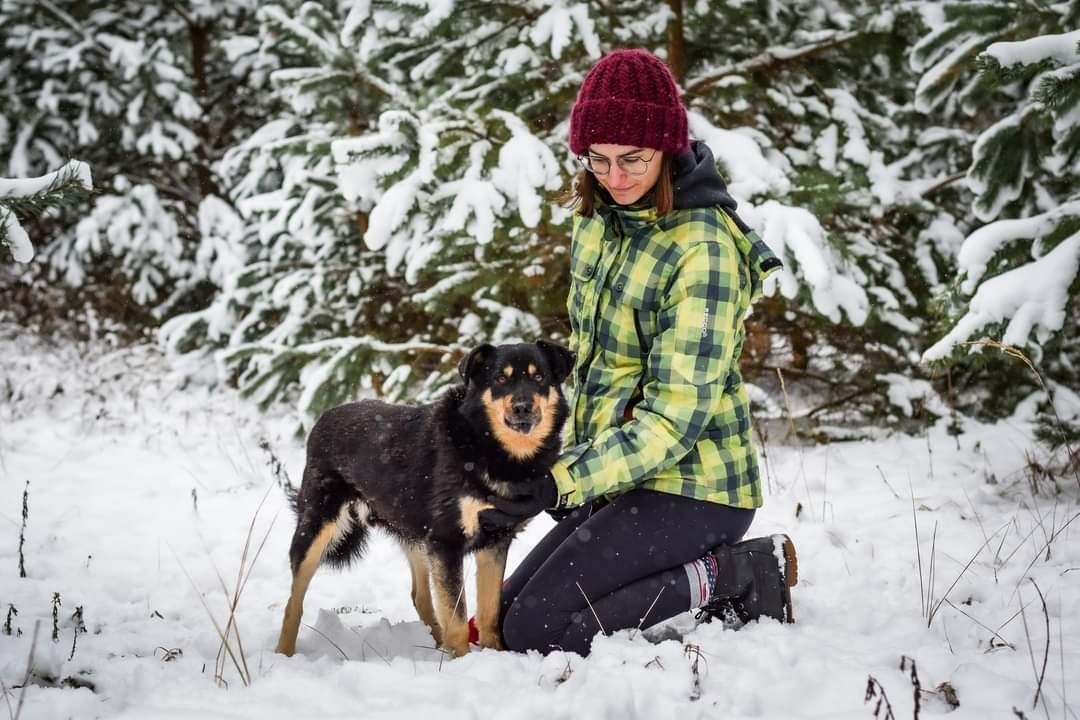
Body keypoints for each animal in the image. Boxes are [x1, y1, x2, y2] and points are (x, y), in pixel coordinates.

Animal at [274, 343, 574, 660]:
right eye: (500, 379)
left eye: (539, 377)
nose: (522, 407)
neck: (488, 444)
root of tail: (325, 415)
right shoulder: (446, 543)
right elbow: (457, 620)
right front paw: (463, 661)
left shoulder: (494, 541)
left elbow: (489, 615)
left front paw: (494, 655)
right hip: (317, 527)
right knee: (293, 603)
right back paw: (284, 653)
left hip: (416, 534)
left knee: (420, 596)